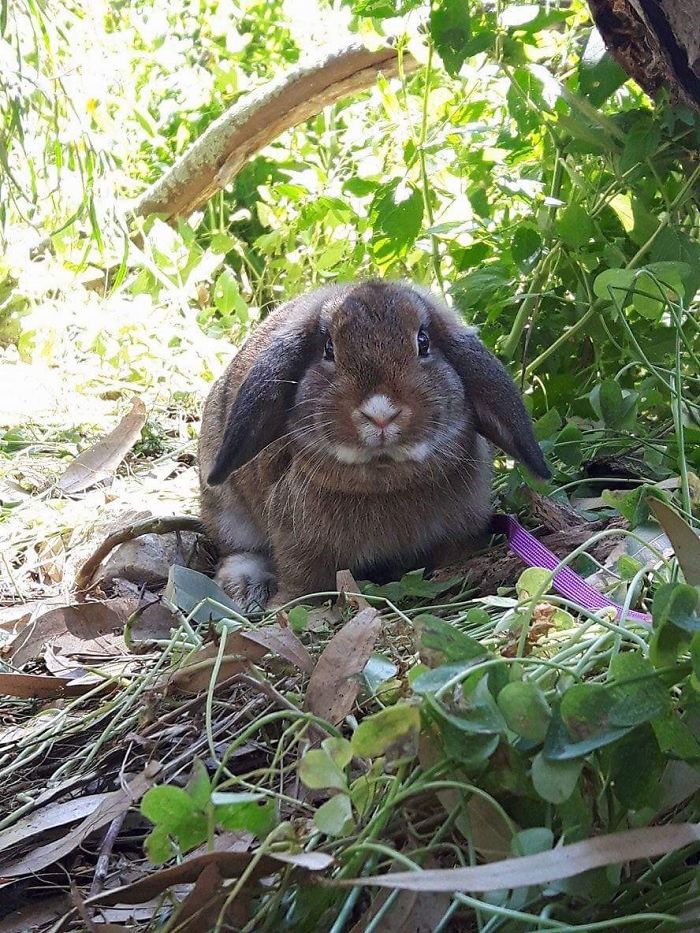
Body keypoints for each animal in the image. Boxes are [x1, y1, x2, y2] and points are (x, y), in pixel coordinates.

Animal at [198, 279, 550, 611]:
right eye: (329, 348)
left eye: (423, 341)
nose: (380, 414)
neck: (384, 480)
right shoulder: (298, 545)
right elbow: (303, 580)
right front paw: (285, 605)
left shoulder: (460, 530)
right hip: (228, 512)